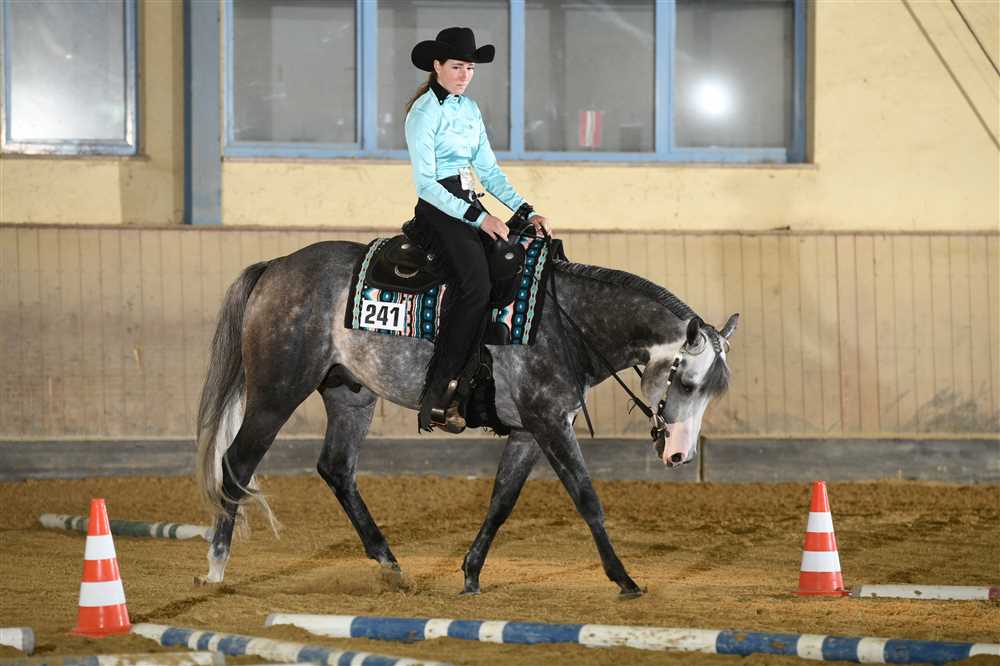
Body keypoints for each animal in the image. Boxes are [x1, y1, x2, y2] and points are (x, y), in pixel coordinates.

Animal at [194, 238, 738, 597]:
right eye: (687, 384)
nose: (680, 454)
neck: (564, 321)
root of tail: (277, 266)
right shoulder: (549, 423)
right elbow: (587, 498)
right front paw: (624, 579)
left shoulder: (529, 431)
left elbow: (501, 501)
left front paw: (472, 573)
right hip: (276, 393)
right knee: (236, 466)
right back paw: (216, 568)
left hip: (349, 395)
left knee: (336, 469)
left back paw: (392, 567)